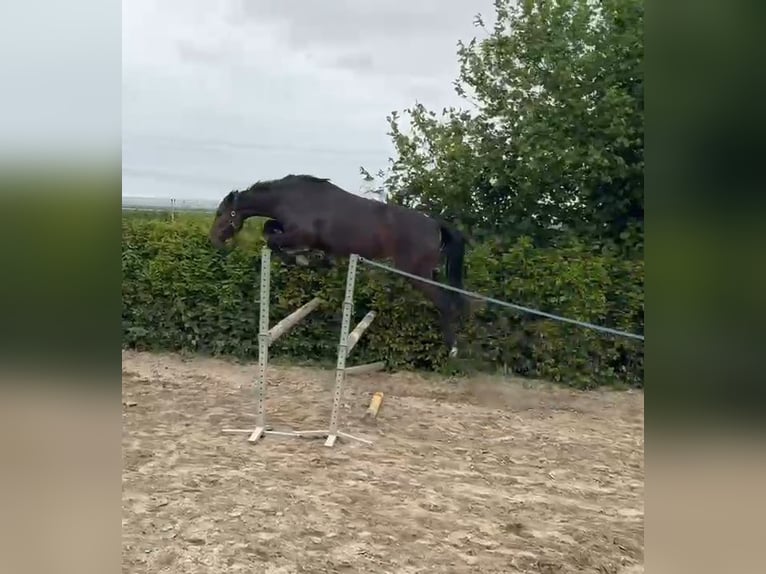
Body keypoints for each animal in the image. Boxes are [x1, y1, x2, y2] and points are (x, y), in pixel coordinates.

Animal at [209, 174, 468, 357]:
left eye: (221, 213)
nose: (214, 240)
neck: (291, 198)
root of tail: (434, 224)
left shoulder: (301, 233)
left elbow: (273, 239)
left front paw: (302, 257)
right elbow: (269, 229)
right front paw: (312, 258)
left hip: (415, 273)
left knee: (444, 303)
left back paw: (453, 348)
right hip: (427, 272)